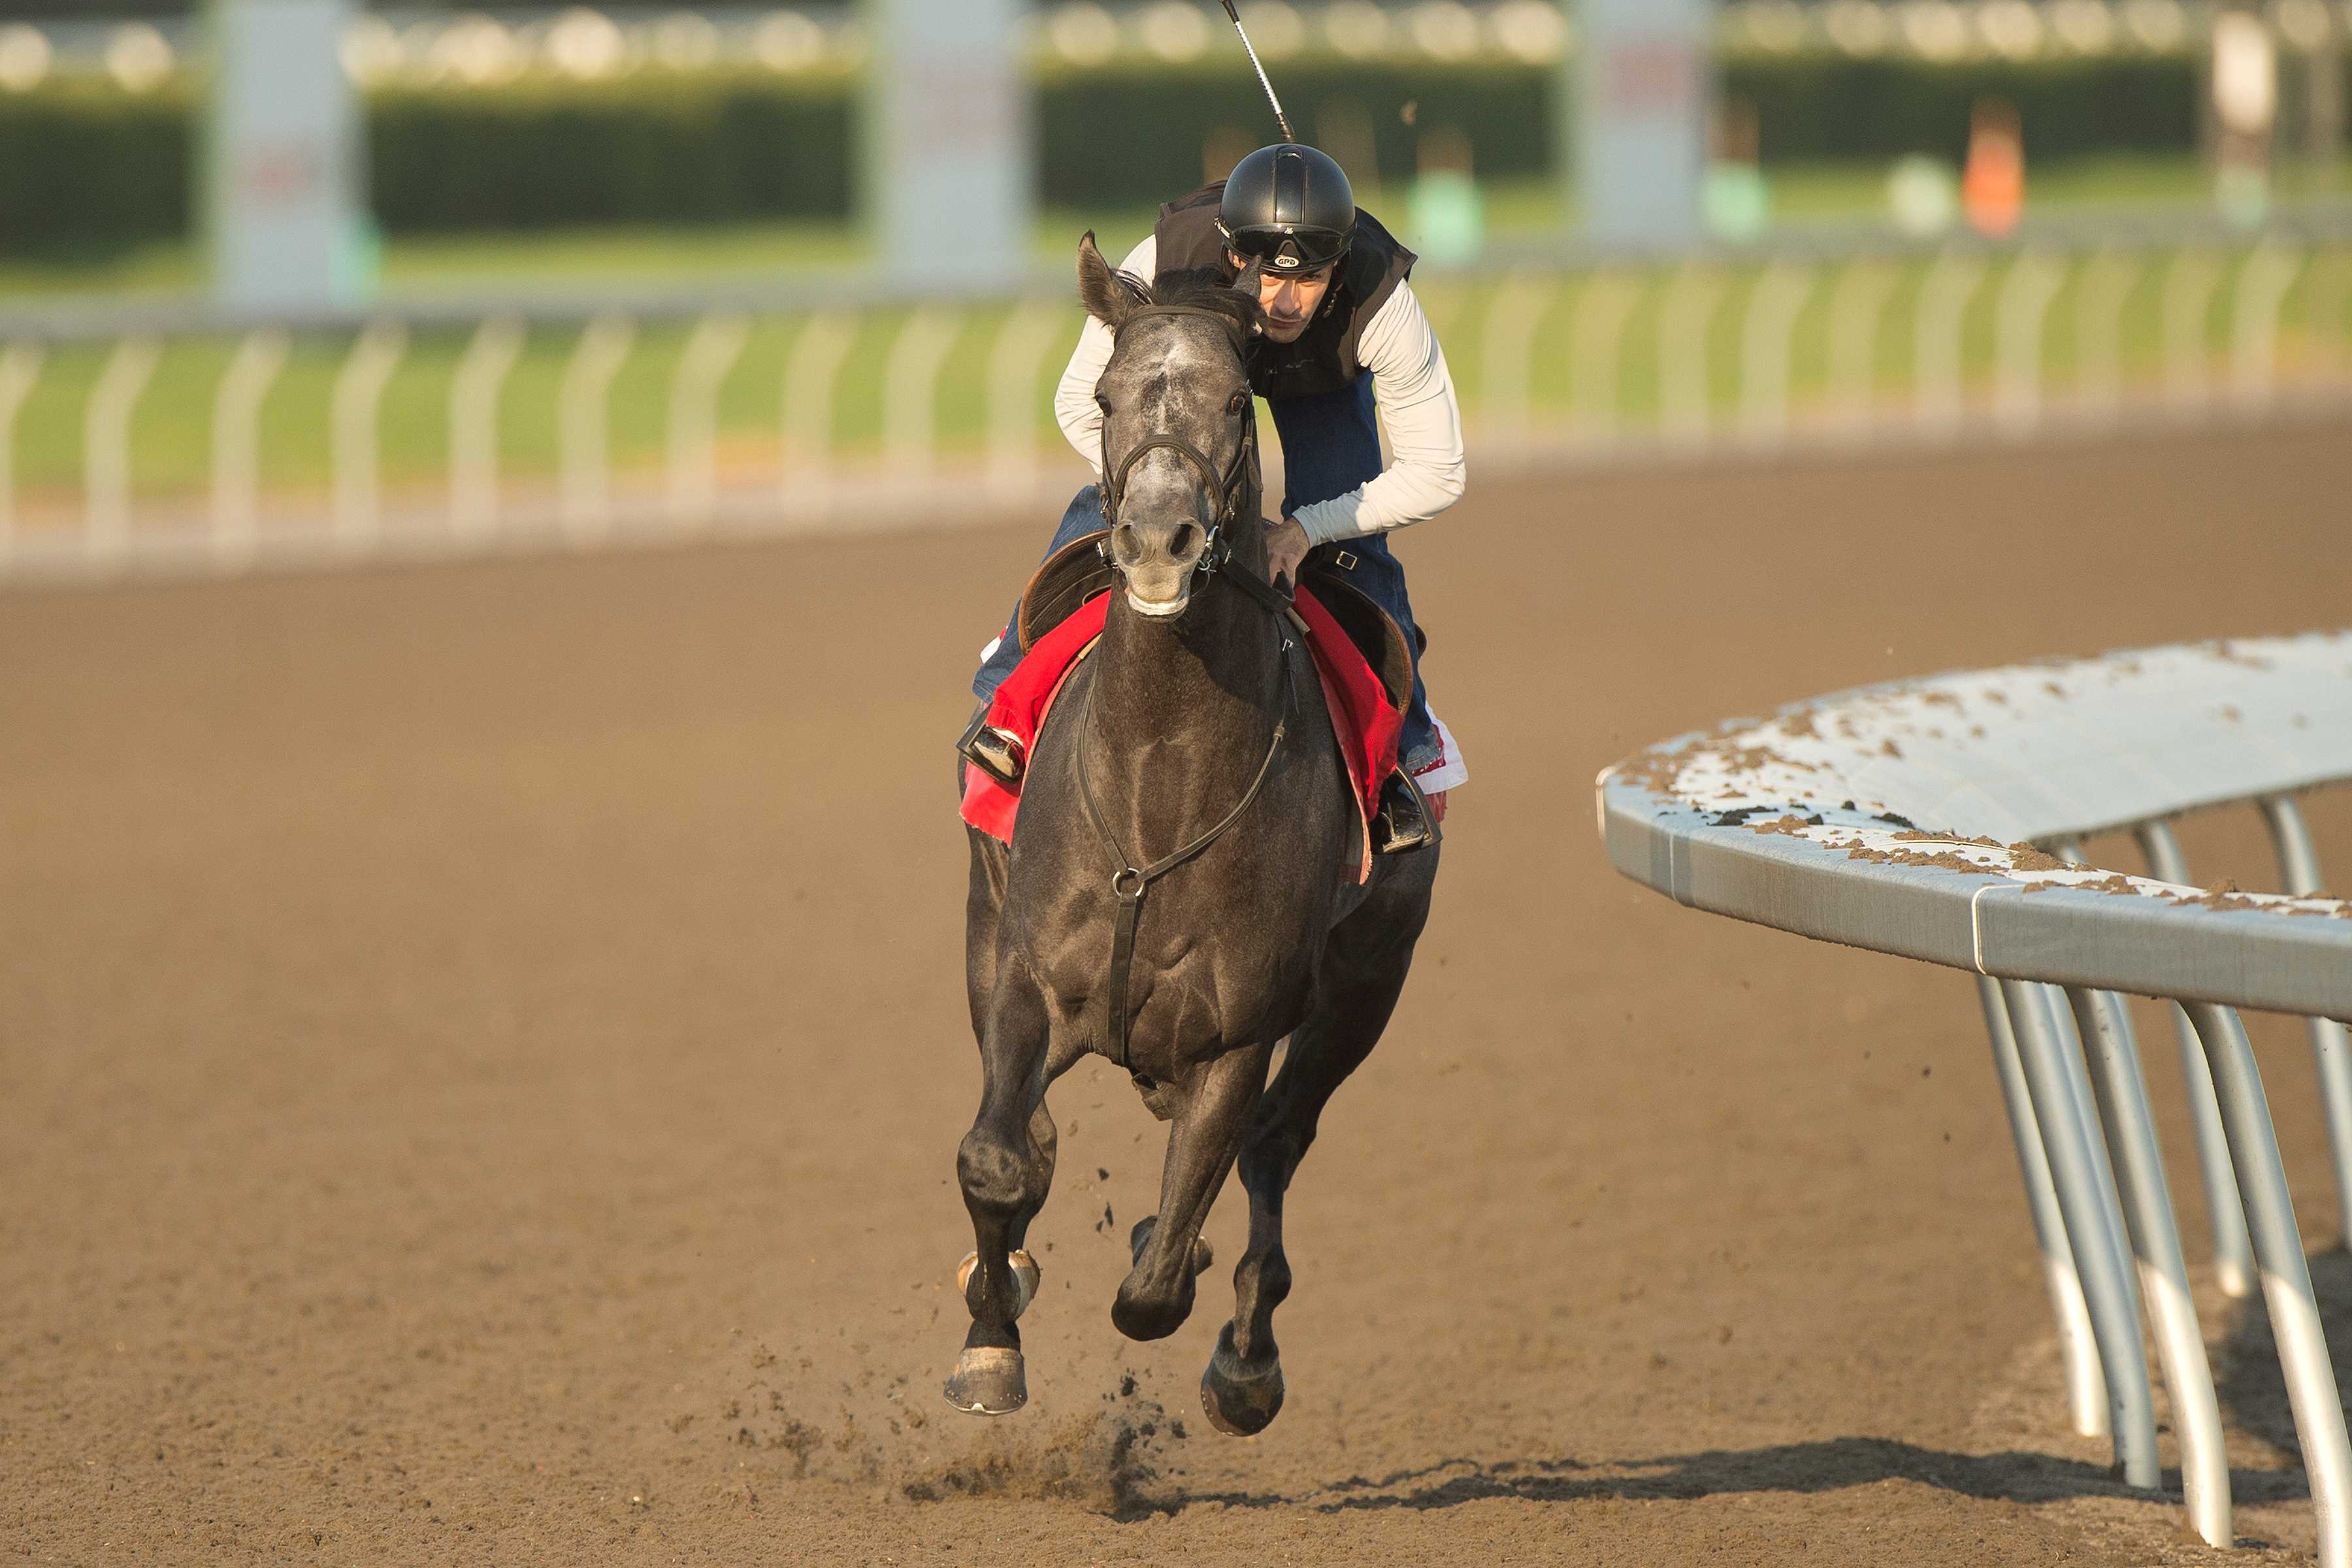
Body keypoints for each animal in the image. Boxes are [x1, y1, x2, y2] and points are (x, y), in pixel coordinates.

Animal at [945, 230, 1439, 1439]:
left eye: (1233, 401)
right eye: (1108, 397)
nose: (1160, 540)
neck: (1157, 781)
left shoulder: (1240, 1034)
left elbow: (1161, 1283)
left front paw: (1185, 1285)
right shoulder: (1026, 977)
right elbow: (997, 1158)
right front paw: (991, 1340)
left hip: (1367, 987)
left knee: (1273, 1152)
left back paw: (1247, 1357)